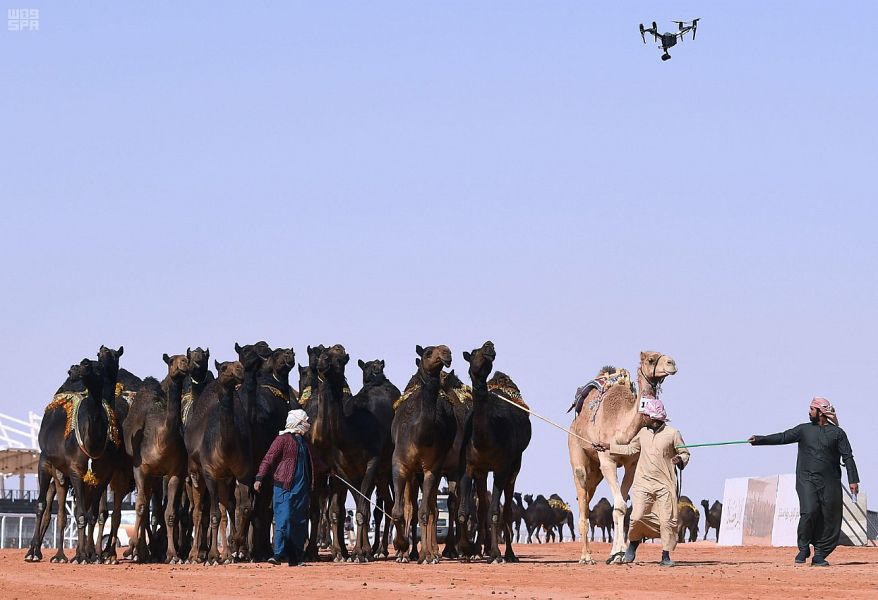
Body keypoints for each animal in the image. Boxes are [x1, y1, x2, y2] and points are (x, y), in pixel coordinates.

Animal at [124, 352, 191, 564]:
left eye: (185, 357)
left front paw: (172, 554)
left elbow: (170, 513)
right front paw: (132, 548)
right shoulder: (140, 468)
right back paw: (139, 550)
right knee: (145, 507)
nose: (185, 363)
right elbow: (140, 507)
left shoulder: (175, 472)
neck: (161, 439)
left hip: (157, 477)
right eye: (171, 360)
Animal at [185, 358, 249, 564]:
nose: (239, 369)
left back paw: (227, 553)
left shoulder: (243, 472)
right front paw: (213, 555)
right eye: (223, 367)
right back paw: (194, 555)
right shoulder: (210, 473)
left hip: (224, 479)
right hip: (196, 472)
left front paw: (236, 544)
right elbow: (213, 514)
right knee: (198, 511)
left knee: (224, 508)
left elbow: (242, 508)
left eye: (239, 364)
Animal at [394, 344, 458, 564]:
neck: (420, 434)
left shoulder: (432, 468)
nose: (447, 352)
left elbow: (425, 512)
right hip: (413, 474)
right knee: (409, 507)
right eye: (428, 353)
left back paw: (429, 553)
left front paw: (426, 556)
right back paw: (405, 554)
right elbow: (399, 511)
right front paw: (401, 546)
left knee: (431, 509)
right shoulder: (400, 466)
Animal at [458, 342, 532, 564]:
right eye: (474, 353)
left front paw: (495, 554)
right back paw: (477, 551)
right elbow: (465, 511)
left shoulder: (501, 468)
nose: (489, 345)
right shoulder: (470, 466)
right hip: (483, 472)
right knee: (482, 508)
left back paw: (509, 554)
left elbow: (495, 512)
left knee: (506, 508)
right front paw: (466, 550)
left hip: (515, 465)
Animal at [572, 350, 680, 564]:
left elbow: (619, 506)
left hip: (595, 471)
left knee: (587, 498)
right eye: (651, 359)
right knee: (582, 495)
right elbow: (620, 505)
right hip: (576, 449)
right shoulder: (607, 461)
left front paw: (617, 553)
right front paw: (619, 553)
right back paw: (586, 557)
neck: (622, 429)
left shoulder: (632, 464)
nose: (671, 363)